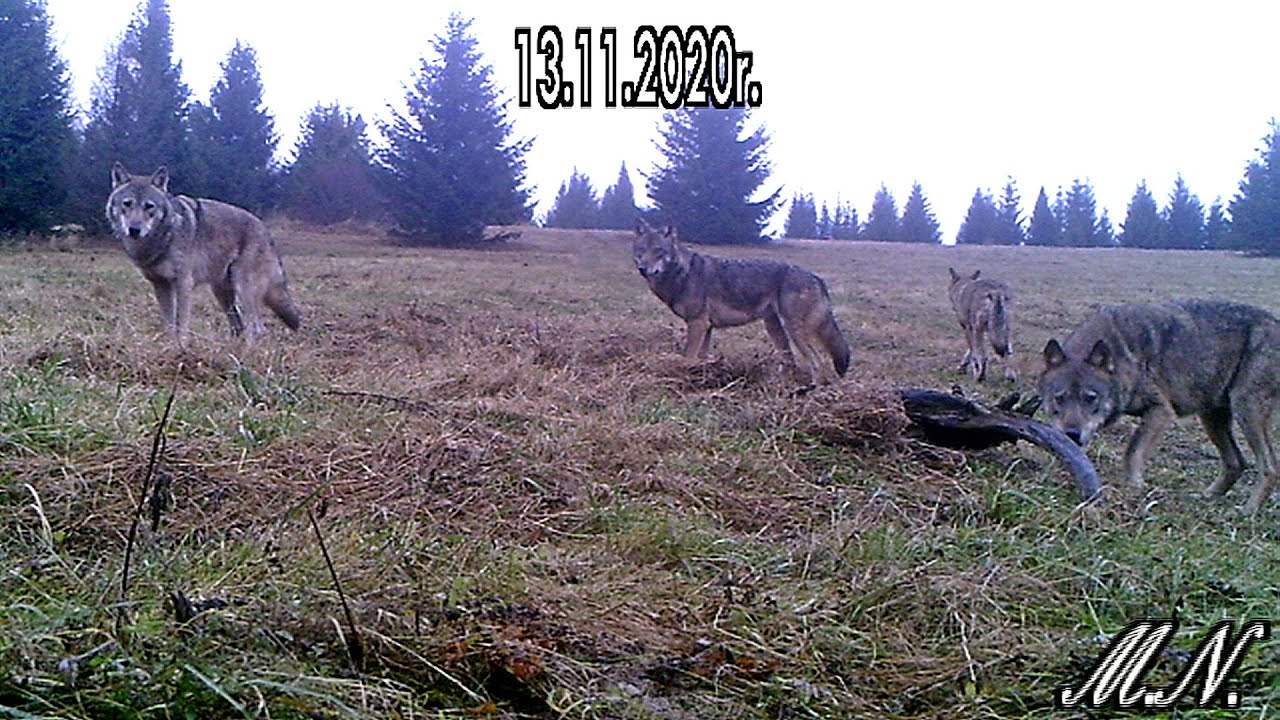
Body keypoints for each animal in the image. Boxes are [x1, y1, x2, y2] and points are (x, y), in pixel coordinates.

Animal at [105, 162, 302, 340]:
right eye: (127, 204)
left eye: (149, 206)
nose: (134, 229)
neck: (164, 236)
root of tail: (264, 228)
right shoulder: (160, 285)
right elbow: (169, 325)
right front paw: (169, 348)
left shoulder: (184, 283)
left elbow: (181, 324)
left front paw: (182, 349)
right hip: (221, 292)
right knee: (238, 325)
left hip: (243, 288)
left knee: (256, 328)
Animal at [634, 219, 855, 384]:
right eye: (641, 250)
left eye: (658, 250)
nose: (643, 269)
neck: (683, 273)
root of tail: (817, 278)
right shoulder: (706, 327)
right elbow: (701, 358)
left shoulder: (697, 324)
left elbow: (688, 357)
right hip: (775, 327)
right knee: (790, 360)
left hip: (794, 331)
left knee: (817, 362)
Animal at [1034, 295, 1280, 509]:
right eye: (1059, 399)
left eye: (1090, 398)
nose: (1072, 434)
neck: (1121, 356)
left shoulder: (1161, 411)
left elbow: (1133, 451)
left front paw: (1135, 489)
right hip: (1213, 418)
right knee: (1236, 463)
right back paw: (1206, 497)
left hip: (1246, 410)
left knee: (1270, 467)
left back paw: (1248, 511)